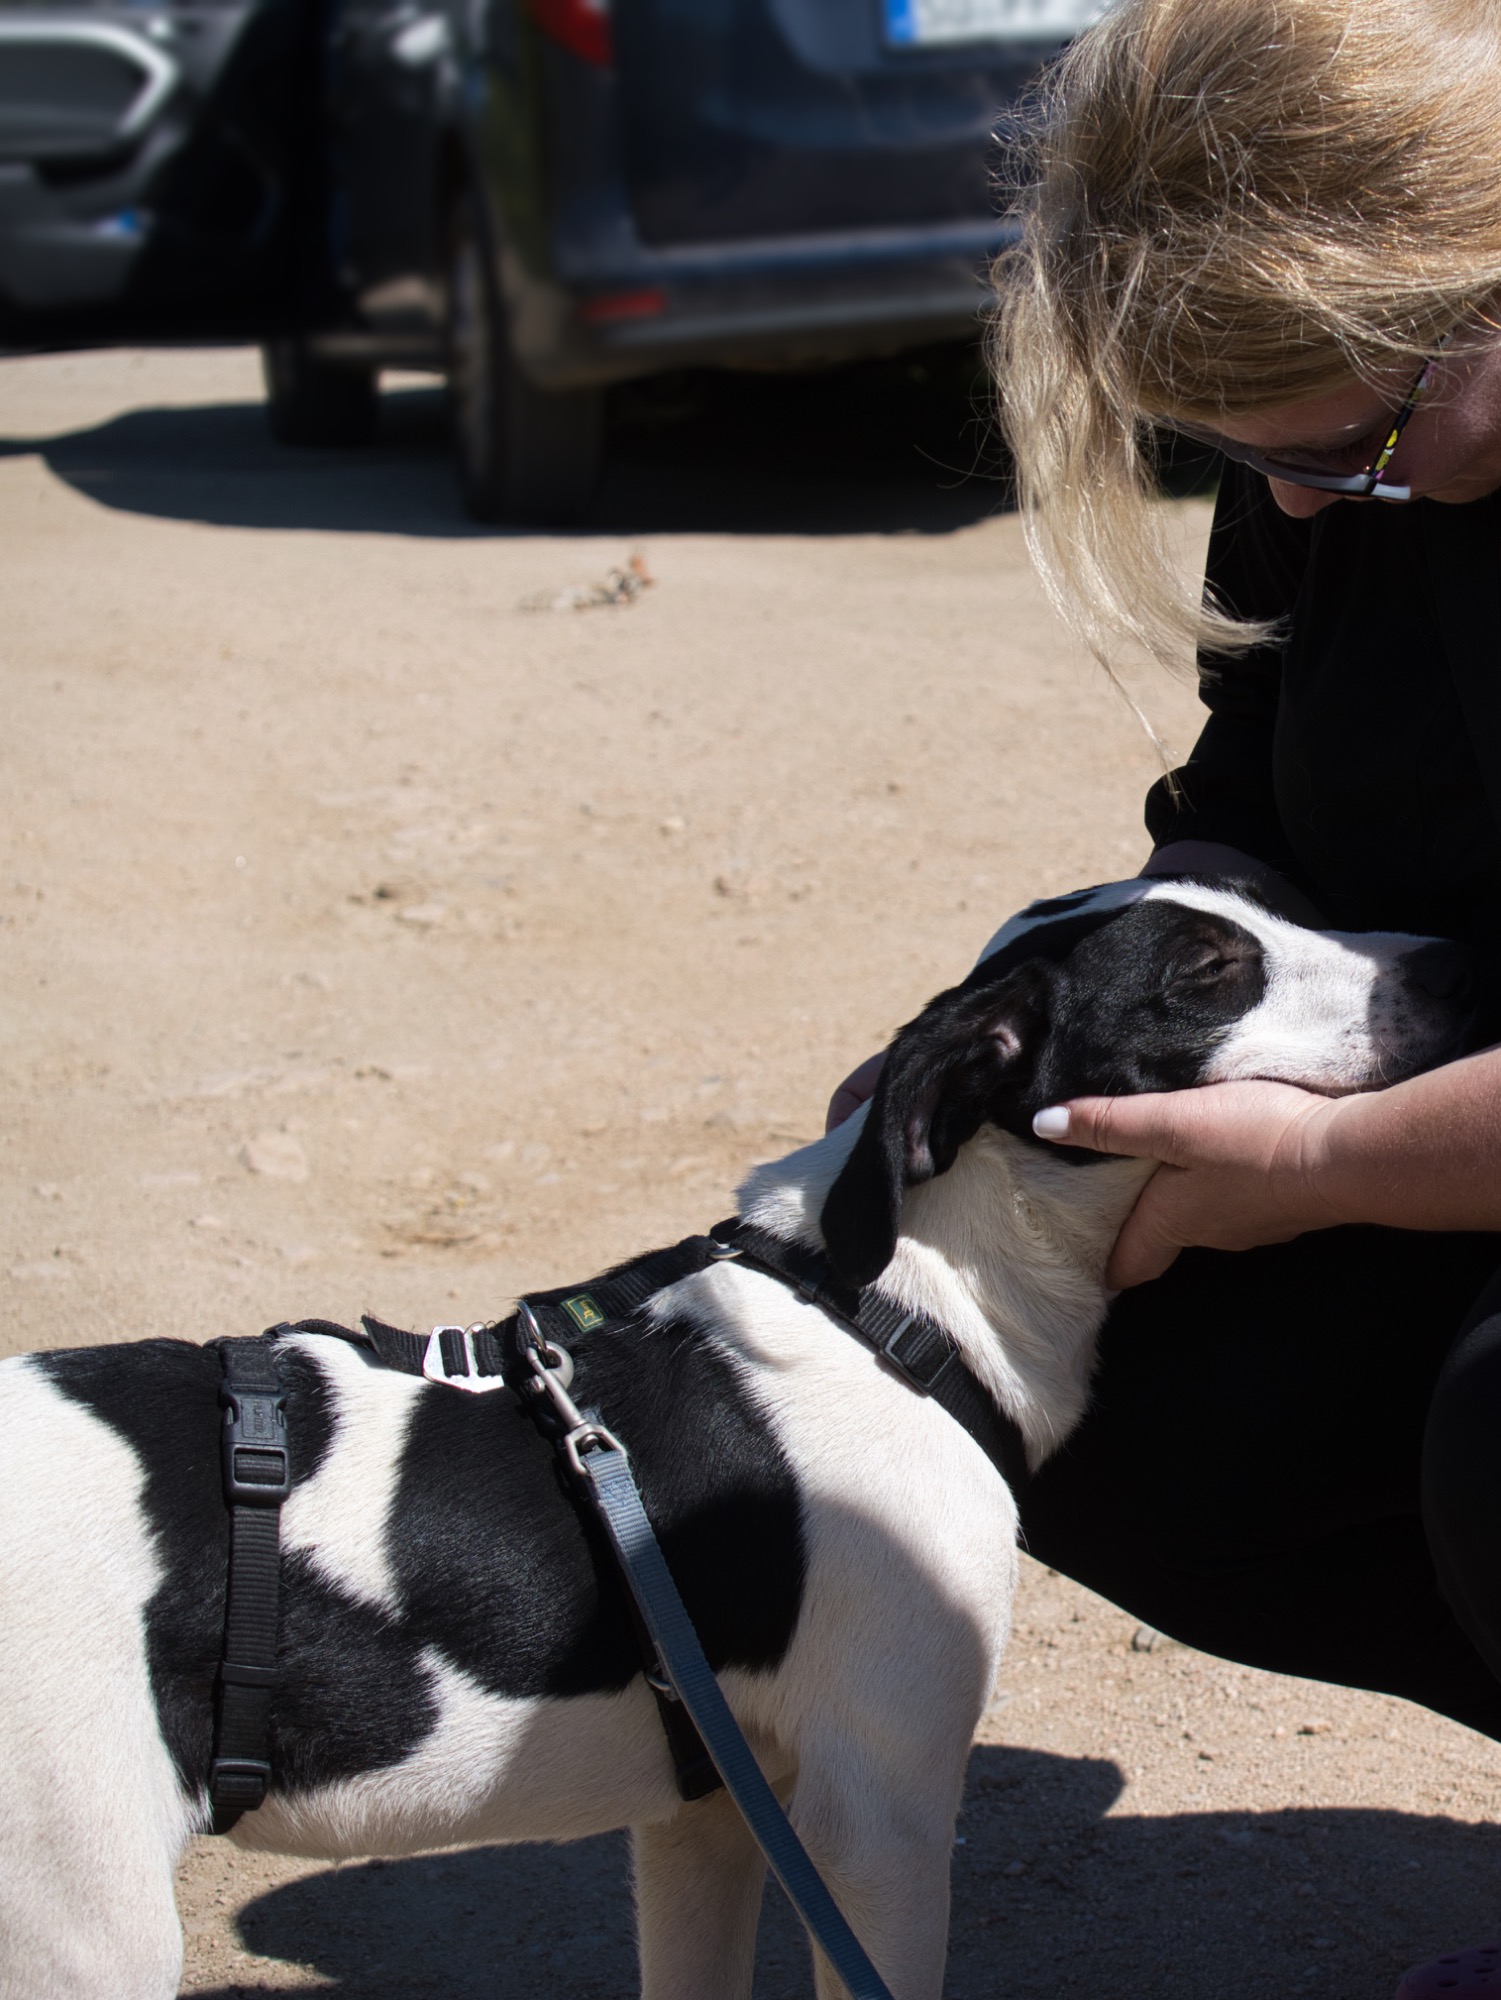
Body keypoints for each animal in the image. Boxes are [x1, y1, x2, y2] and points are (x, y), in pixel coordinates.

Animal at [0, 877, 1473, 2000]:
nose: (1453, 961)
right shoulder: (876, 1813)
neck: (884, 1308)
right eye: (1211, 971)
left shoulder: (703, 1813)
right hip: (87, 1933)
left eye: (1271, 905)